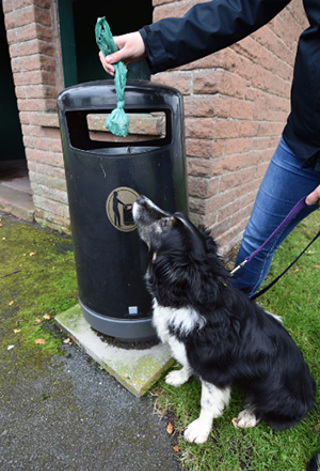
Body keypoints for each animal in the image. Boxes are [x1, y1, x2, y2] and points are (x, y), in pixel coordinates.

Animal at [132, 196, 316, 446]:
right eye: (172, 216)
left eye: (164, 224)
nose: (140, 198)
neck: (190, 298)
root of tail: (309, 395)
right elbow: (189, 363)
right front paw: (180, 376)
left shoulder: (216, 368)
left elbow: (208, 401)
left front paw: (200, 429)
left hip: (273, 388)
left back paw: (249, 414)